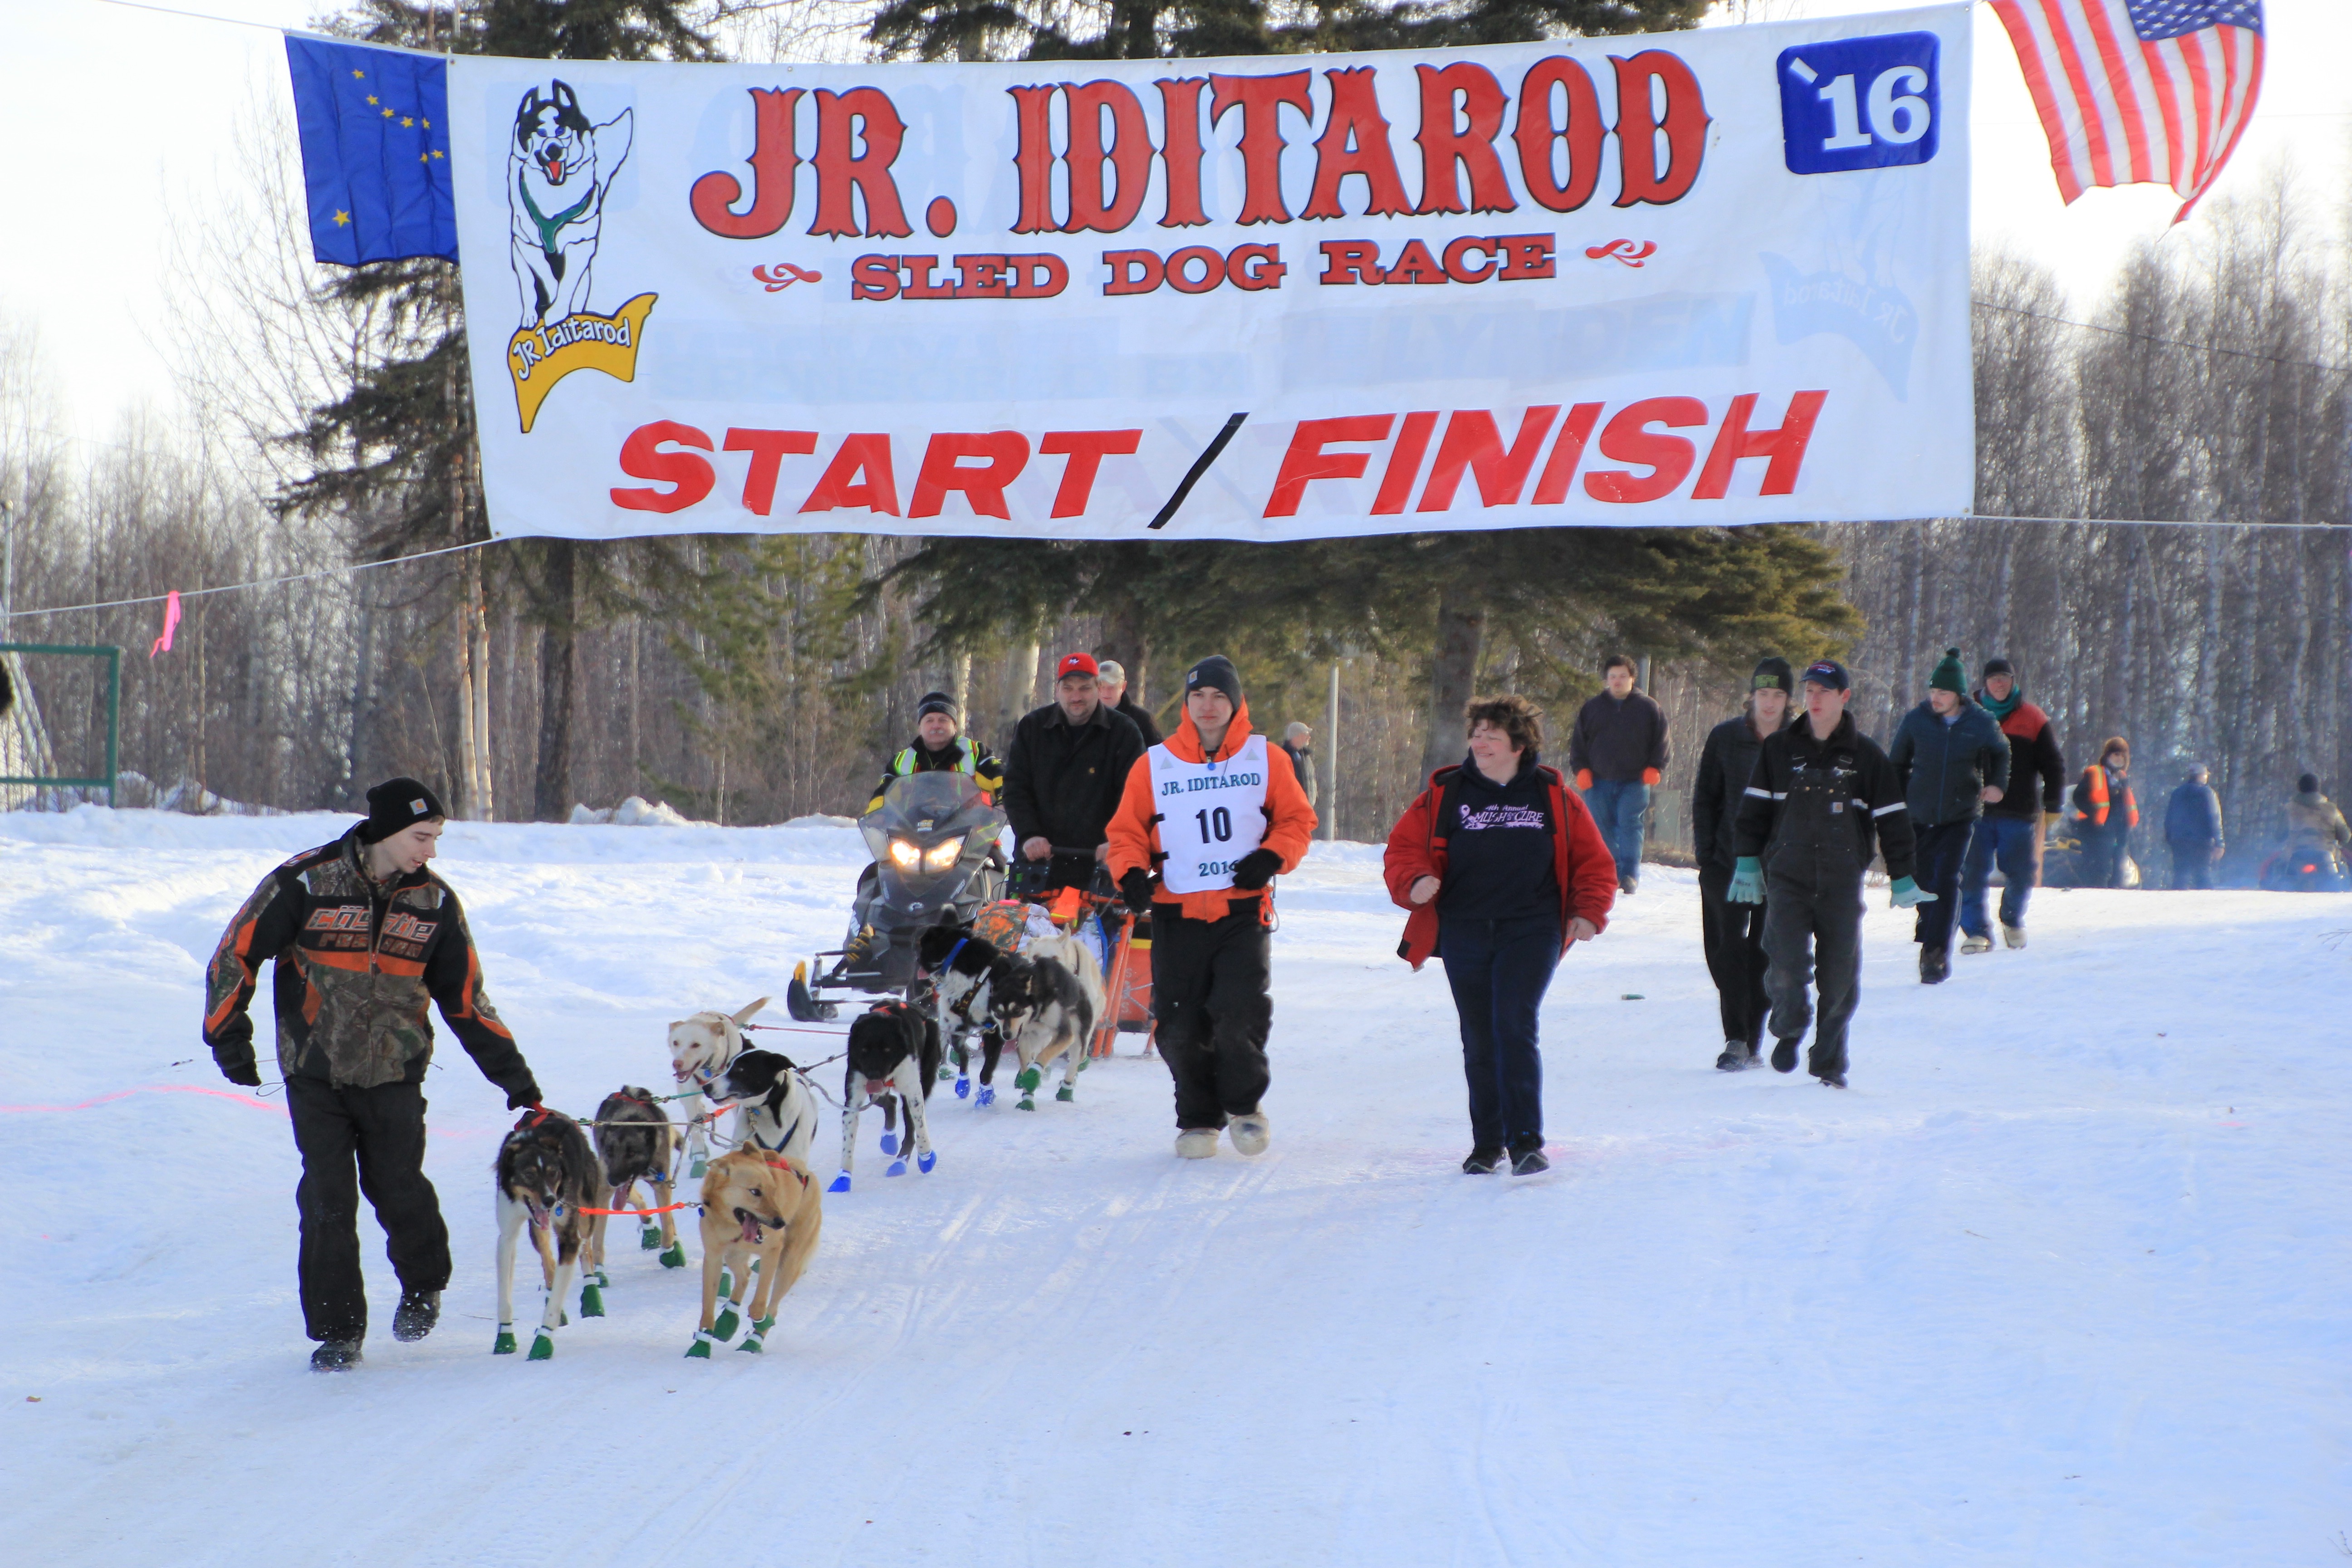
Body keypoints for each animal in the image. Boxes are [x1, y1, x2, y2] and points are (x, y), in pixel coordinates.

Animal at [508, 78, 635, 329]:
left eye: (561, 131)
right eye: (541, 132)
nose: (554, 150)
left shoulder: (581, 243)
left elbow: (568, 284)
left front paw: (559, 312)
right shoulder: (527, 243)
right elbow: (546, 275)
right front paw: (552, 309)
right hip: (517, 251)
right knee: (527, 284)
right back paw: (530, 316)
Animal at [686, 1147, 823, 1354]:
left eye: (774, 1191)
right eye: (755, 1192)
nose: (780, 1223)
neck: (733, 1227)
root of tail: (808, 1173)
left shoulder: (772, 1252)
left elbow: (760, 1306)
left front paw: (760, 1319)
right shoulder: (713, 1258)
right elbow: (707, 1308)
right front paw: (701, 1346)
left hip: (788, 1262)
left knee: (773, 1306)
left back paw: (754, 1341)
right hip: (734, 1256)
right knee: (745, 1274)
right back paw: (729, 1319)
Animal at [828, 1001, 936, 1194]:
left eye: (887, 1049)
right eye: (864, 1049)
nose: (873, 1074)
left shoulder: (913, 1091)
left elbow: (920, 1126)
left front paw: (926, 1157)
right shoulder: (854, 1096)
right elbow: (848, 1142)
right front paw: (843, 1178)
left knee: (910, 1127)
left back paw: (901, 1162)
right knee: (889, 1101)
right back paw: (889, 1140)